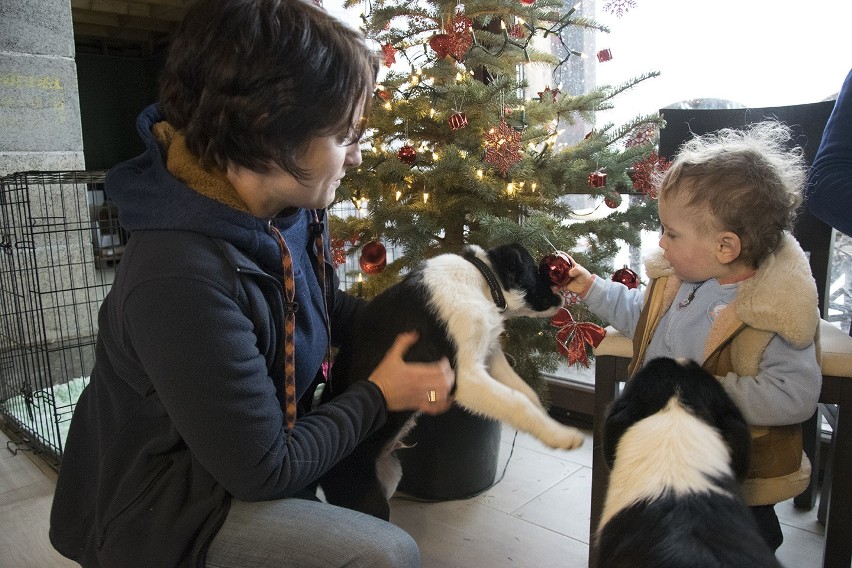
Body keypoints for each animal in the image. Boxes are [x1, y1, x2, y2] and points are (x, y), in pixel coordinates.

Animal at [320, 243, 584, 520]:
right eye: (537, 269)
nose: (563, 292)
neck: (482, 279)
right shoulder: (467, 377)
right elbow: (517, 401)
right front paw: (562, 436)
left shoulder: (491, 356)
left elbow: (525, 393)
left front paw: (548, 424)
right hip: (368, 499)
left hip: (391, 474)